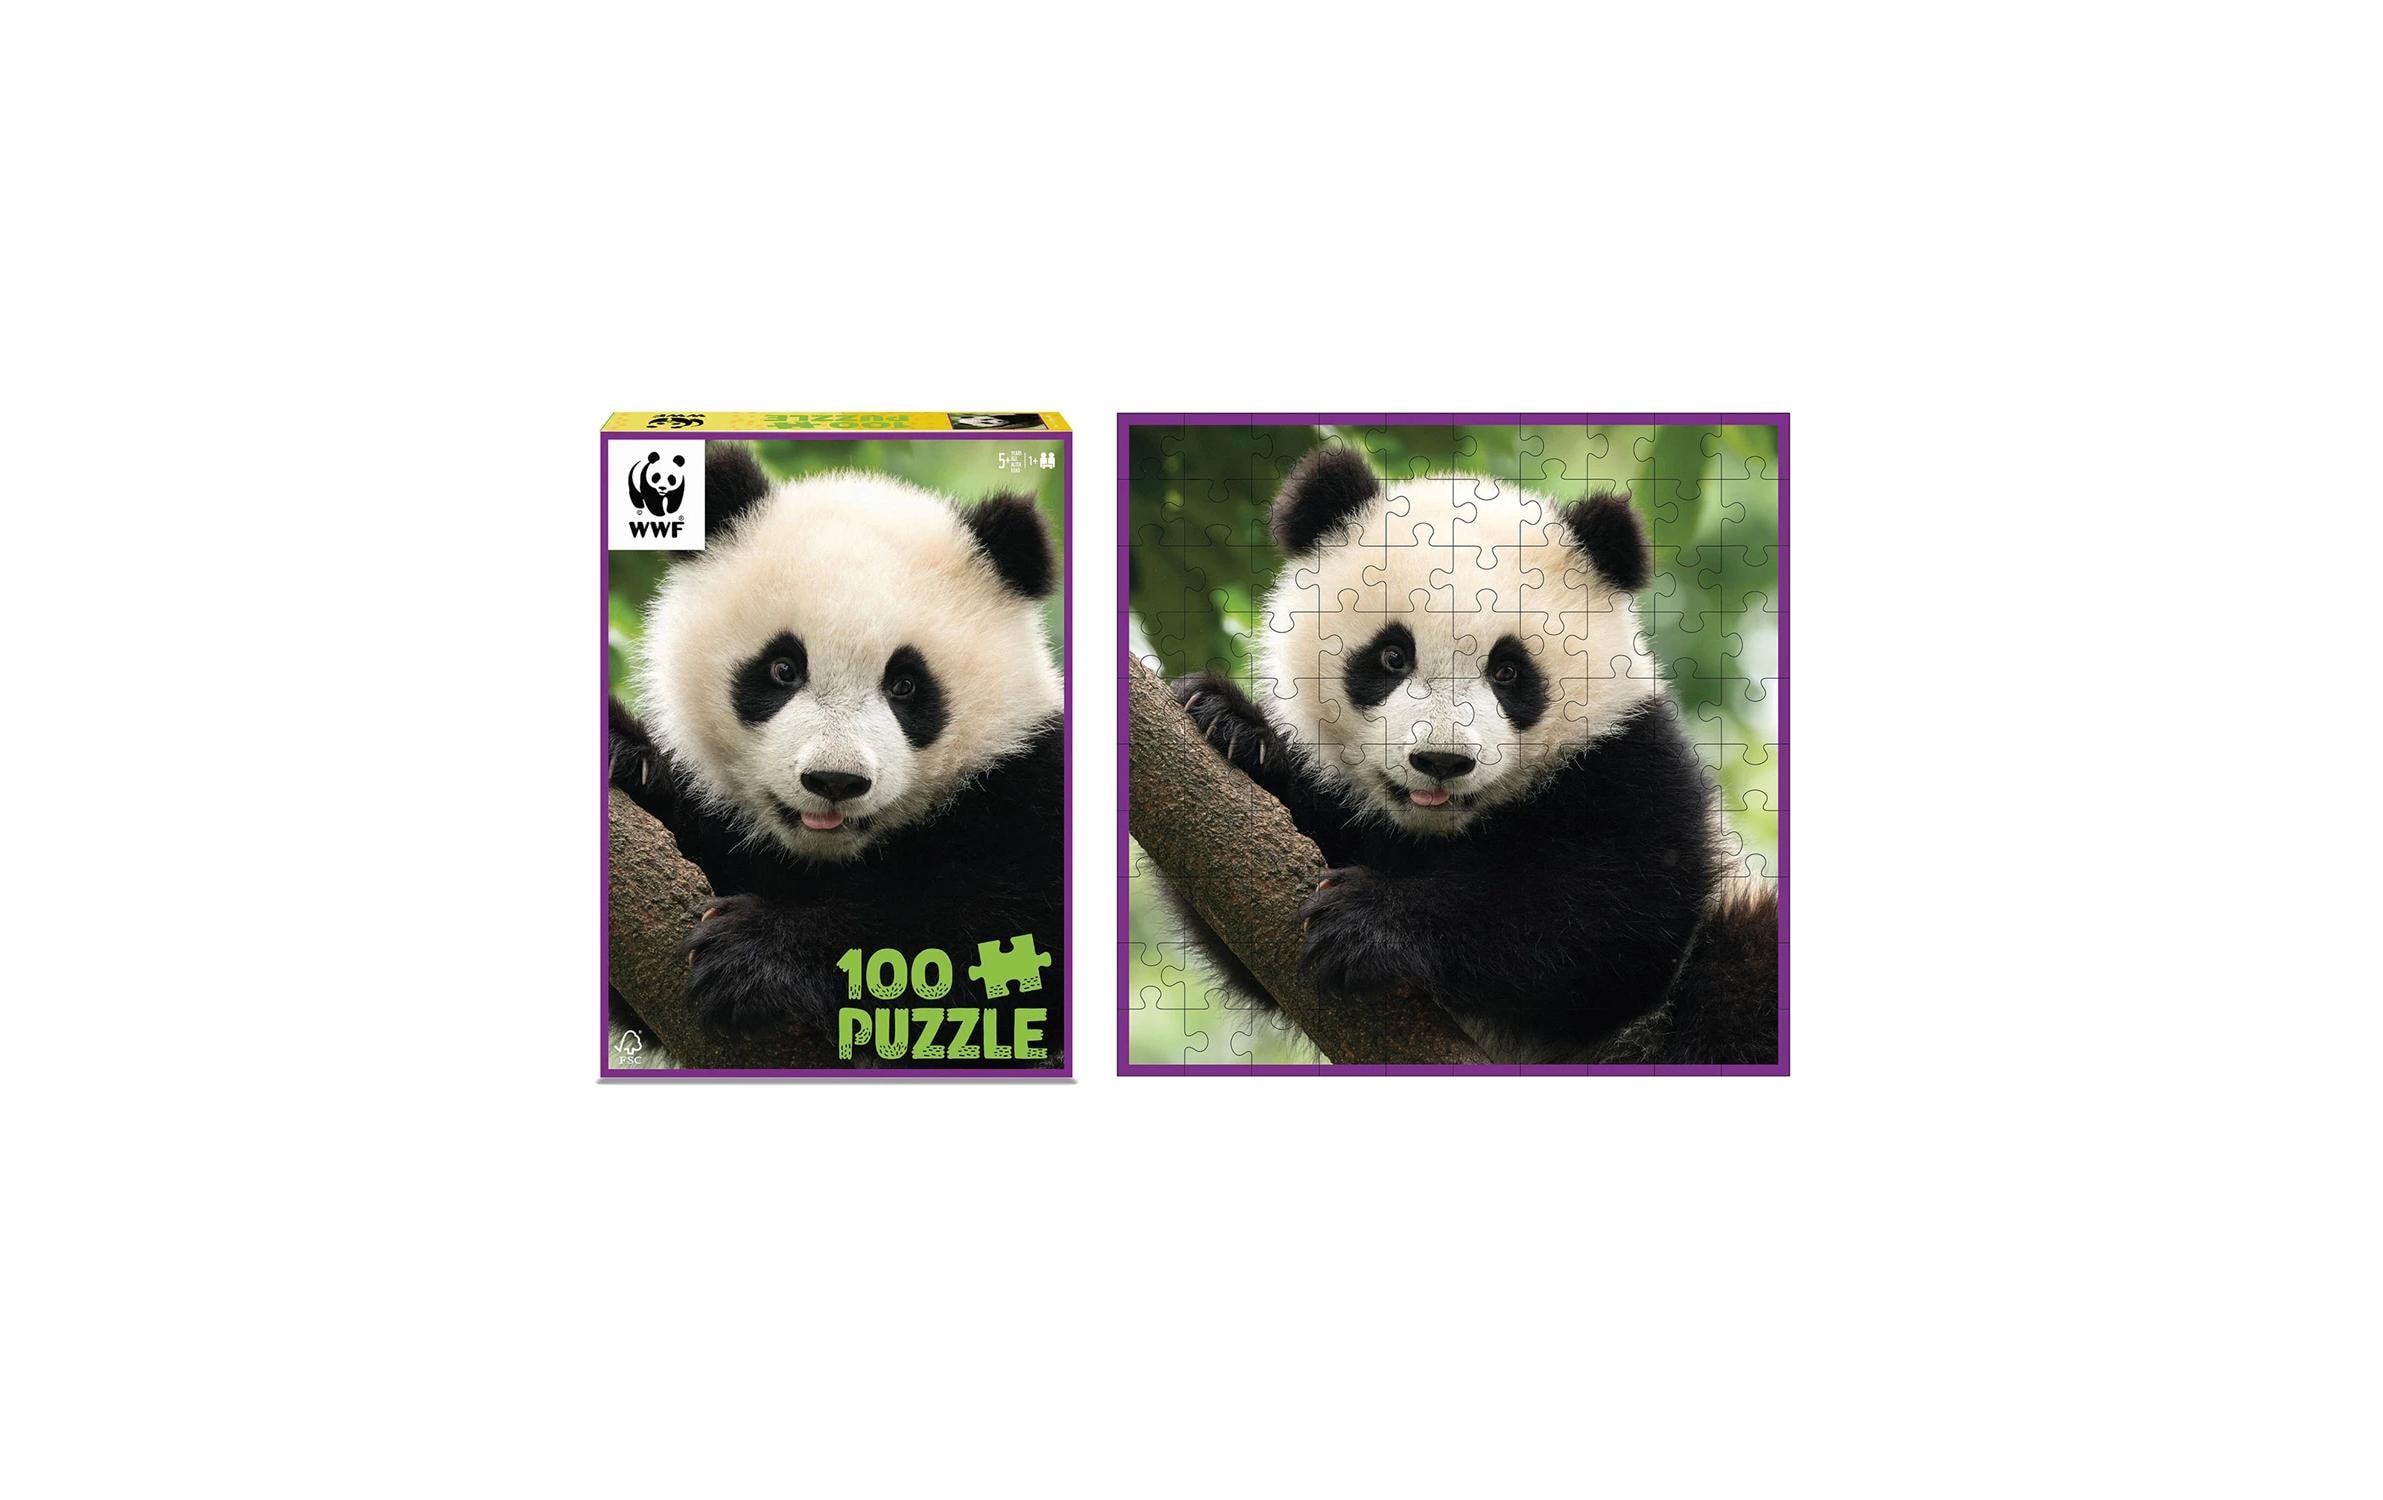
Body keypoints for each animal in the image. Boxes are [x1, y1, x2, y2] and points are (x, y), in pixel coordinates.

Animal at [609, 442, 1065, 1065]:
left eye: (905, 685)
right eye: (782, 668)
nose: (834, 781)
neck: (828, 856)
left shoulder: (1030, 784)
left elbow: (994, 939)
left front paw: (755, 958)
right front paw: (627, 757)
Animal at [1165, 444, 1778, 1064]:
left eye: (1508, 671)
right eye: (1392, 656)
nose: (1442, 760)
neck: (1440, 832)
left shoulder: (1632, 761)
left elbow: (1613, 919)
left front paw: (1369, 922)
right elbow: (1248, 927)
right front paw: (1231, 726)